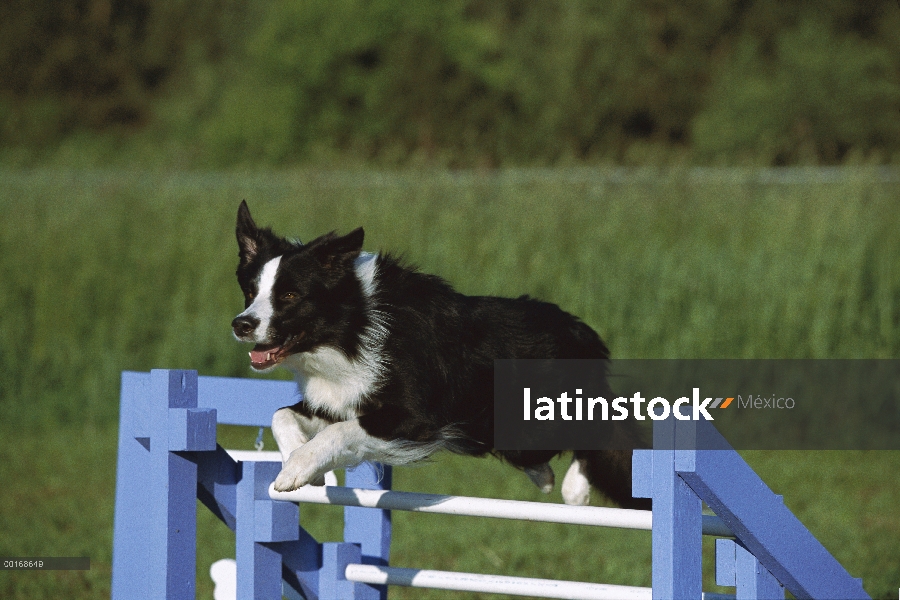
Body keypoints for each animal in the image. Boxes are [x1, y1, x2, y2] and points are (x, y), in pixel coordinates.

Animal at [229, 204, 648, 508]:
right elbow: (282, 415)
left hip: (540, 421)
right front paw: (304, 465)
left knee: (601, 430)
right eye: (250, 291)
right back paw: (544, 476)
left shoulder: (414, 417)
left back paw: (574, 489)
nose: (241, 324)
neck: (351, 327)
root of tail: (581, 330)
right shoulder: (340, 398)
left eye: (290, 295)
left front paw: (294, 471)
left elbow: (339, 431)